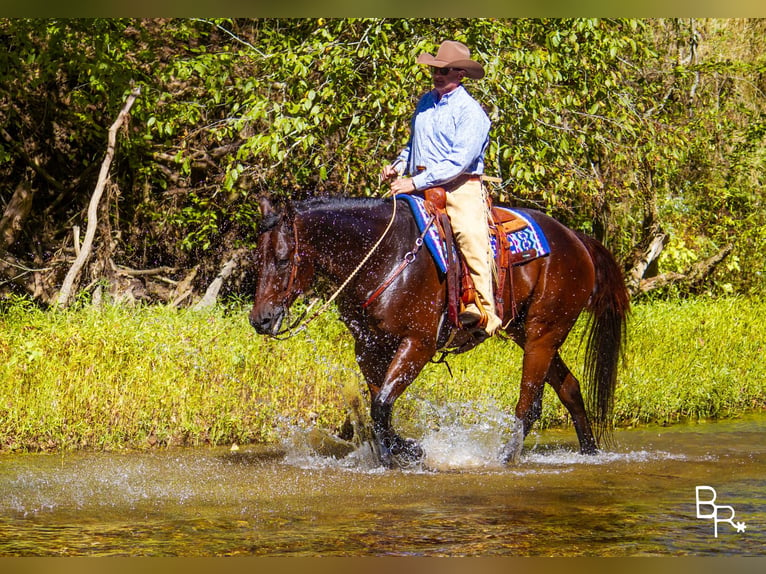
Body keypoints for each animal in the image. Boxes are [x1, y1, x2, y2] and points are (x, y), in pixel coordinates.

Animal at [250, 196, 632, 470]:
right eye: (259, 258)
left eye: (283, 259)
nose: (261, 320)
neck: (385, 258)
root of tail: (576, 239)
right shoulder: (369, 348)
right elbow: (379, 410)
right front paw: (397, 455)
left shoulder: (417, 344)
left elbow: (381, 407)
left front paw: (408, 454)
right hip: (527, 333)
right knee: (570, 389)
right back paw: (589, 453)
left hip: (543, 333)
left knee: (529, 404)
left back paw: (505, 459)